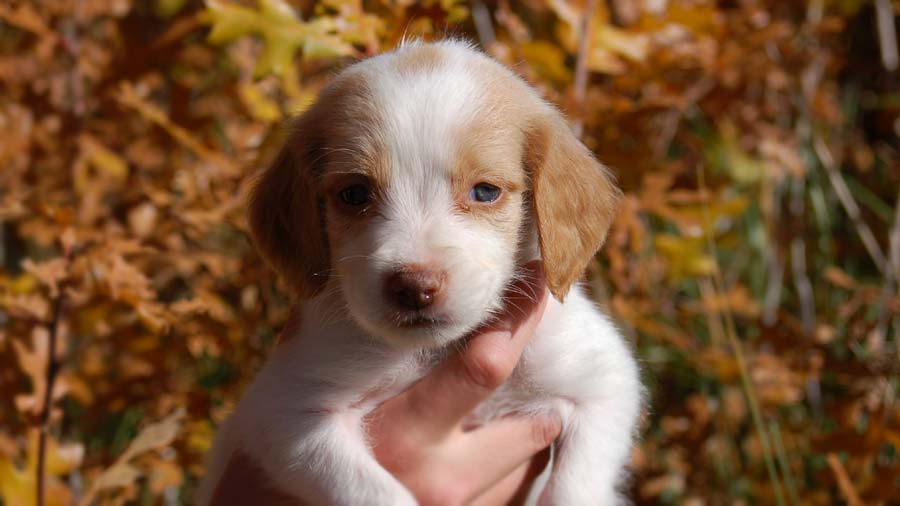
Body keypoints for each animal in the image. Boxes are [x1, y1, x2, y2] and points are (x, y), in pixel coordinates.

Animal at [201, 40, 644, 506]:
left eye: (485, 191)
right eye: (354, 194)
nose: (415, 288)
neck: (436, 352)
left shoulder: (605, 380)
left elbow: (574, 485)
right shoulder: (289, 410)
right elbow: (374, 491)